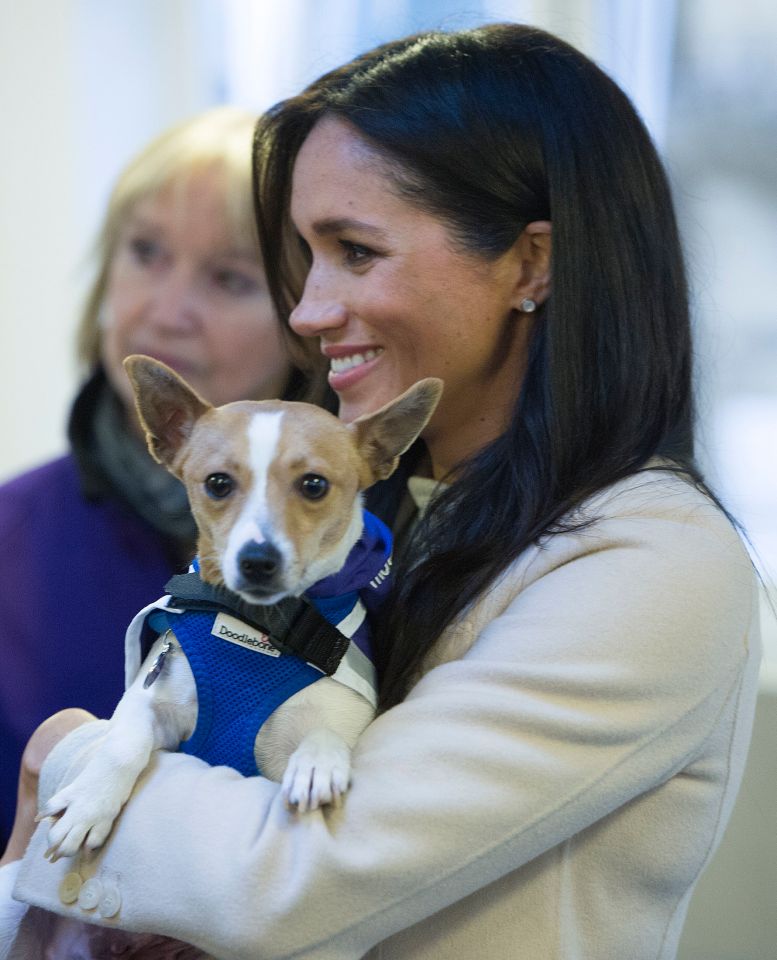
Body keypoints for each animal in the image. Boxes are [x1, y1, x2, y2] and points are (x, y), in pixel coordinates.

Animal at [41, 354, 442, 864]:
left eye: (314, 485)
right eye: (217, 483)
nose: (258, 560)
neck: (256, 626)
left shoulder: (343, 718)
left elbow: (327, 733)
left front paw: (317, 762)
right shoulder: (150, 702)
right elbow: (123, 743)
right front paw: (90, 803)